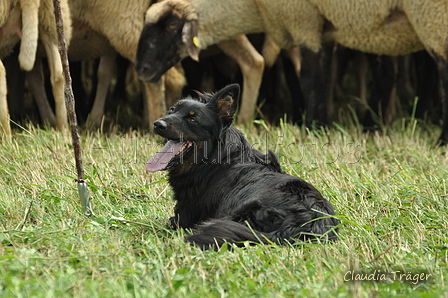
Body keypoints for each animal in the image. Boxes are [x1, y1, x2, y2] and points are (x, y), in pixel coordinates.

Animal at [136, 0, 448, 144]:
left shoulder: (303, 18)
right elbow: (323, 77)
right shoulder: (323, 27)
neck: (252, 7)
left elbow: (311, 79)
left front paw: (313, 128)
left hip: (432, 15)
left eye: (172, 25)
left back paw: (441, 140)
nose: (141, 70)